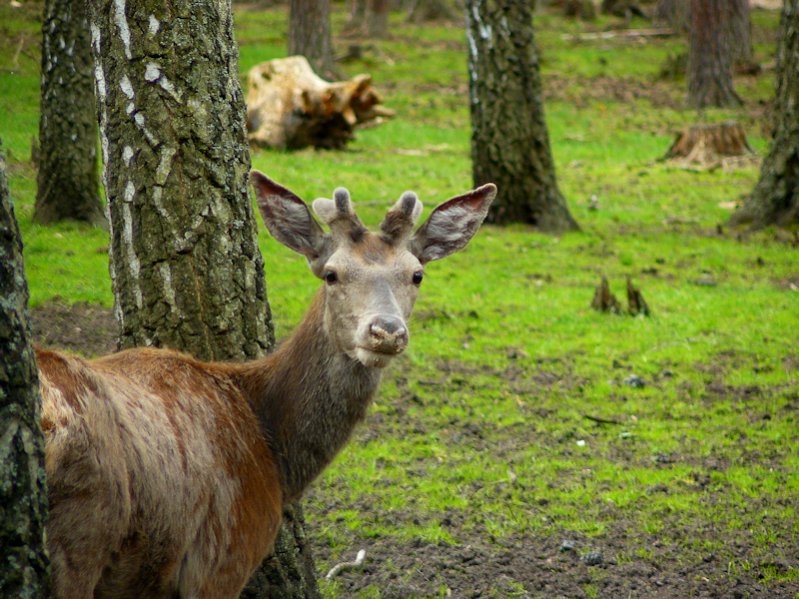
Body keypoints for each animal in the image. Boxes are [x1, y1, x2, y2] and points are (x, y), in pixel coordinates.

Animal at [40, 171, 496, 596]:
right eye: (331, 274)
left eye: (417, 275)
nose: (386, 331)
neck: (272, 452)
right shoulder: (223, 558)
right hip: (80, 537)